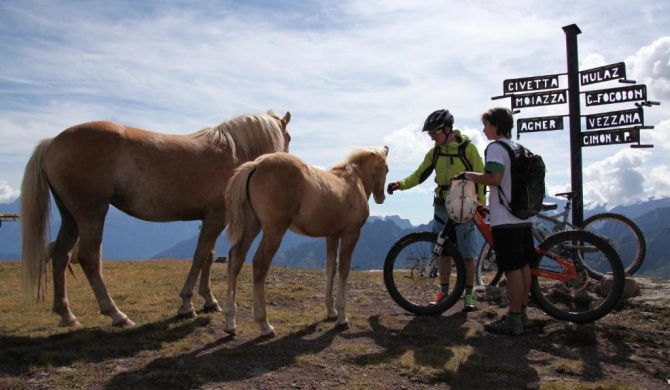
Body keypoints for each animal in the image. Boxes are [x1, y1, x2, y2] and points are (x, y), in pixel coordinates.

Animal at [21, 109, 292, 326]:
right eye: (288, 138)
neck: (232, 151)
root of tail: (53, 142)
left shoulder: (212, 217)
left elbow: (208, 256)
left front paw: (209, 300)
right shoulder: (216, 217)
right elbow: (200, 256)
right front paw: (186, 304)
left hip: (70, 217)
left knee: (60, 255)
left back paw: (66, 314)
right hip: (91, 213)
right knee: (89, 258)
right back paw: (116, 314)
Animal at [226, 145, 392, 336]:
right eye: (387, 169)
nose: (381, 197)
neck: (355, 180)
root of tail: (256, 164)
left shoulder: (332, 235)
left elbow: (330, 268)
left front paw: (331, 312)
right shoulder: (351, 234)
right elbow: (344, 269)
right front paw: (342, 317)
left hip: (252, 225)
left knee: (236, 258)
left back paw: (230, 322)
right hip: (274, 230)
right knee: (260, 263)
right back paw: (265, 325)